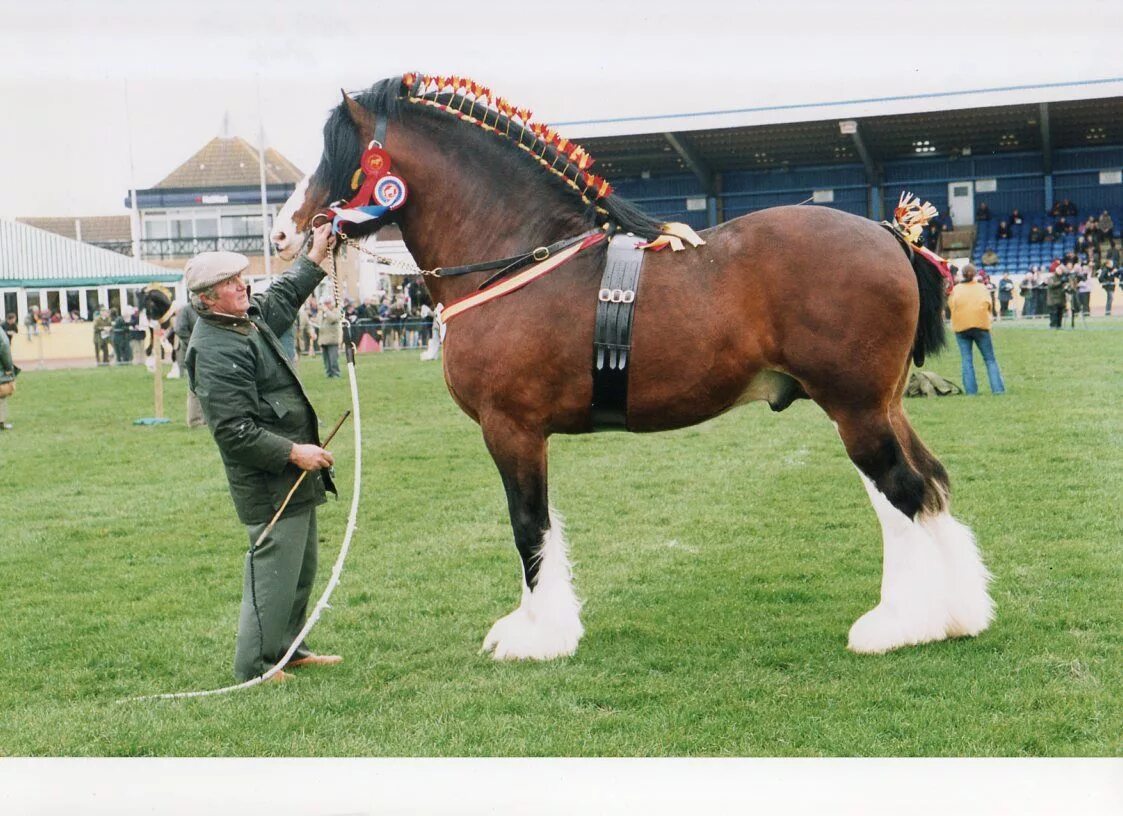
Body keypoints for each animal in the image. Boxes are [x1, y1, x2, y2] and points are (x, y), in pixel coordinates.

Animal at [269, 75, 992, 664]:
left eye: (337, 154)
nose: (282, 233)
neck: (518, 255)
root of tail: (888, 234)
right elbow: (536, 525)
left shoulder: (511, 429)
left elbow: (528, 524)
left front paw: (539, 636)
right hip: (880, 406)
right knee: (923, 488)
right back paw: (956, 614)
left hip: (855, 409)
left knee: (903, 492)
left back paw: (899, 625)